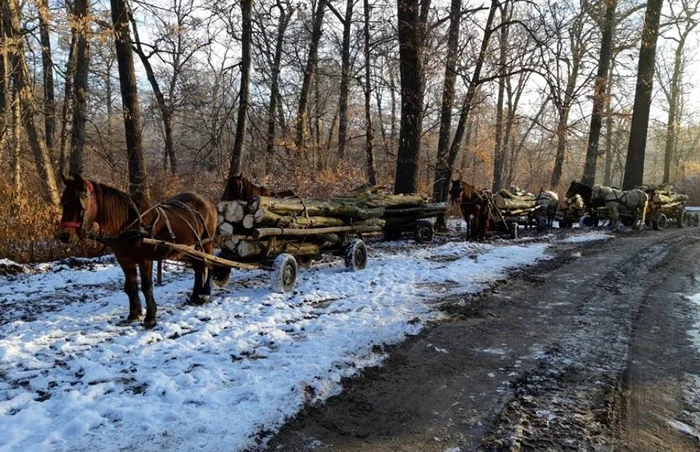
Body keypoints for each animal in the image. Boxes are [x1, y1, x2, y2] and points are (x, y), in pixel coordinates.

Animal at [55, 174, 216, 328]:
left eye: (78, 203)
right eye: (64, 202)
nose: (63, 236)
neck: (130, 224)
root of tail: (206, 202)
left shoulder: (145, 259)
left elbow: (146, 287)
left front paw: (150, 318)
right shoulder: (124, 260)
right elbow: (130, 287)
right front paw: (133, 314)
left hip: (206, 243)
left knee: (206, 265)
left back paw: (205, 294)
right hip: (192, 247)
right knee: (197, 268)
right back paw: (195, 296)